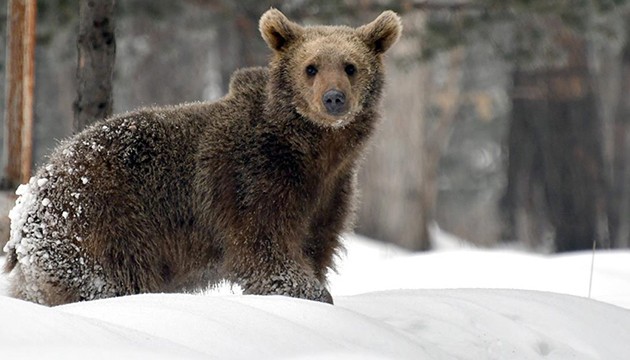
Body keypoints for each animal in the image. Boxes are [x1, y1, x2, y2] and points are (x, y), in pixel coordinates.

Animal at [2, 8, 402, 306]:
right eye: (311, 67)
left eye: (350, 66)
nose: (334, 98)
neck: (313, 150)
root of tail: (27, 201)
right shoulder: (251, 180)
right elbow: (263, 248)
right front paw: (310, 292)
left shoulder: (331, 192)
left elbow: (318, 244)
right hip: (99, 222)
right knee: (107, 280)